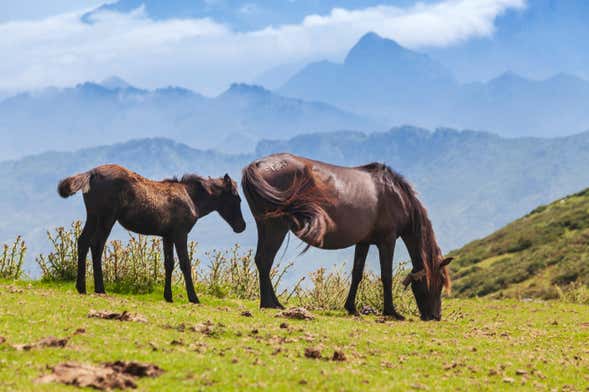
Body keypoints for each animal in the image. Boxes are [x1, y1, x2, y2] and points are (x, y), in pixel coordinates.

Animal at [56, 164, 245, 304]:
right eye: (237, 198)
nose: (241, 226)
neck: (191, 198)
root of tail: (91, 173)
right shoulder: (180, 233)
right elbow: (185, 264)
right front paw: (194, 298)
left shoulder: (167, 236)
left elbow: (169, 264)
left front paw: (168, 297)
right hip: (106, 218)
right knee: (96, 245)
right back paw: (100, 288)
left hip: (93, 216)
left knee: (83, 241)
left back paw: (81, 287)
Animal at [241, 153, 452, 322]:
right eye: (440, 281)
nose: (435, 316)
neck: (396, 195)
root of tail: (258, 165)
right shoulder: (387, 241)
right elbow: (386, 276)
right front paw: (391, 311)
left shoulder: (364, 242)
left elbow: (357, 273)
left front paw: (351, 308)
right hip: (276, 226)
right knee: (265, 260)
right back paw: (270, 303)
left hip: (265, 226)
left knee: (261, 260)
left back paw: (272, 302)